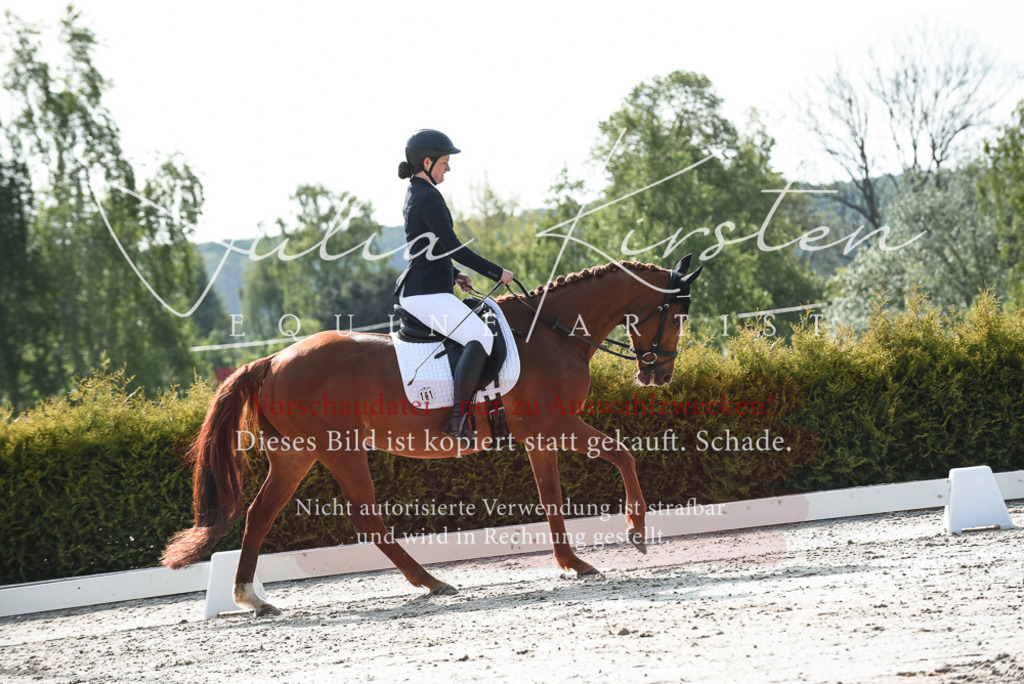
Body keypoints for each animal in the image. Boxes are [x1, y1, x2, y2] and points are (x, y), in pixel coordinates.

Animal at [161, 257, 702, 615]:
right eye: (677, 317)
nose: (659, 375)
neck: (552, 332)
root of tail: (271, 361)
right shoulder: (555, 425)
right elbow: (622, 453)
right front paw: (635, 531)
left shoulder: (540, 437)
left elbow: (552, 494)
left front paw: (572, 562)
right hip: (339, 450)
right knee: (366, 518)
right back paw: (431, 581)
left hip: (296, 456)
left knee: (259, 514)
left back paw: (253, 598)